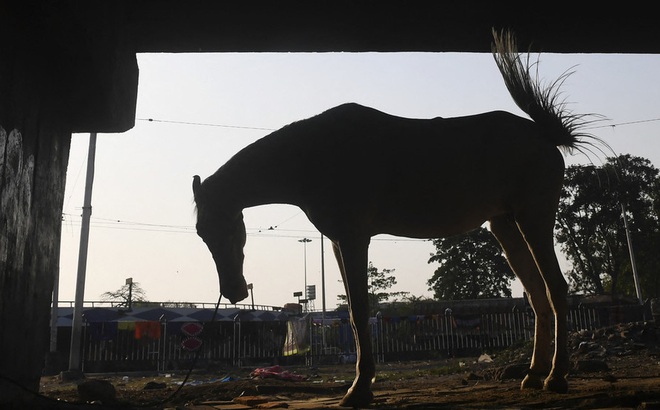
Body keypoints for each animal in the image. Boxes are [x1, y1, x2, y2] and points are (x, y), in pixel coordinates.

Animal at [192, 32, 600, 406]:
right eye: (200, 233)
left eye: (216, 227)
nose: (234, 291)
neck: (314, 155)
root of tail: (545, 136)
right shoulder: (339, 240)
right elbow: (354, 314)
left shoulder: (354, 237)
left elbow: (360, 311)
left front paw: (359, 389)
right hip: (506, 225)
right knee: (537, 296)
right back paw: (533, 375)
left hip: (534, 218)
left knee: (555, 290)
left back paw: (556, 378)